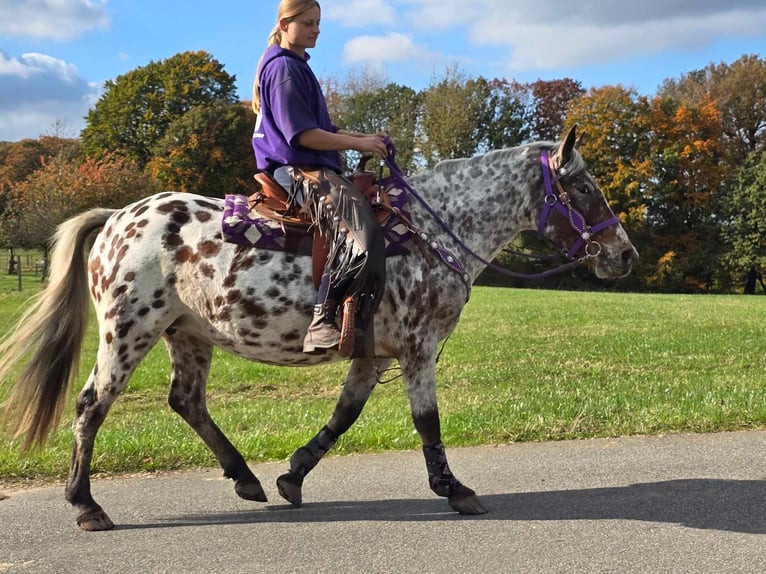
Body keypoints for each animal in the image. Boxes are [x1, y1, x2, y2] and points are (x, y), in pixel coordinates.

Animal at [0, 126, 636, 532]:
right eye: (584, 187)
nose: (625, 255)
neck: (431, 230)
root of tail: (118, 216)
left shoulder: (374, 354)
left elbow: (344, 414)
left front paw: (292, 476)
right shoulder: (418, 347)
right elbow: (427, 421)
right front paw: (454, 490)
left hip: (189, 334)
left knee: (187, 402)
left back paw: (245, 478)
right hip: (128, 332)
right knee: (91, 405)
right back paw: (86, 505)